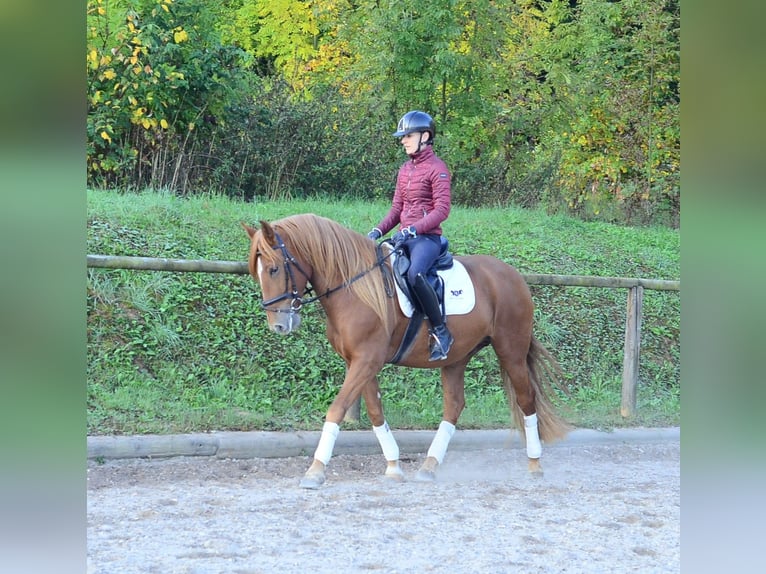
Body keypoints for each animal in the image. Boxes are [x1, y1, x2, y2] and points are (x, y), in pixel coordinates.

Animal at [242, 213, 571, 489]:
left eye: (273, 269)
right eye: (256, 273)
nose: (279, 326)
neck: (353, 287)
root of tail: (514, 276)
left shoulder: (366, 360)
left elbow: (337, 409)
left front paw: (315, 470)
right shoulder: (358, 362)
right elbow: (375, 412)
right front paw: (393, 466)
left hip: (511, 350)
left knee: (526, 399)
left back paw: (535, 464)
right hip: (457, 357)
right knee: (454, 405)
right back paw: (429, 466)